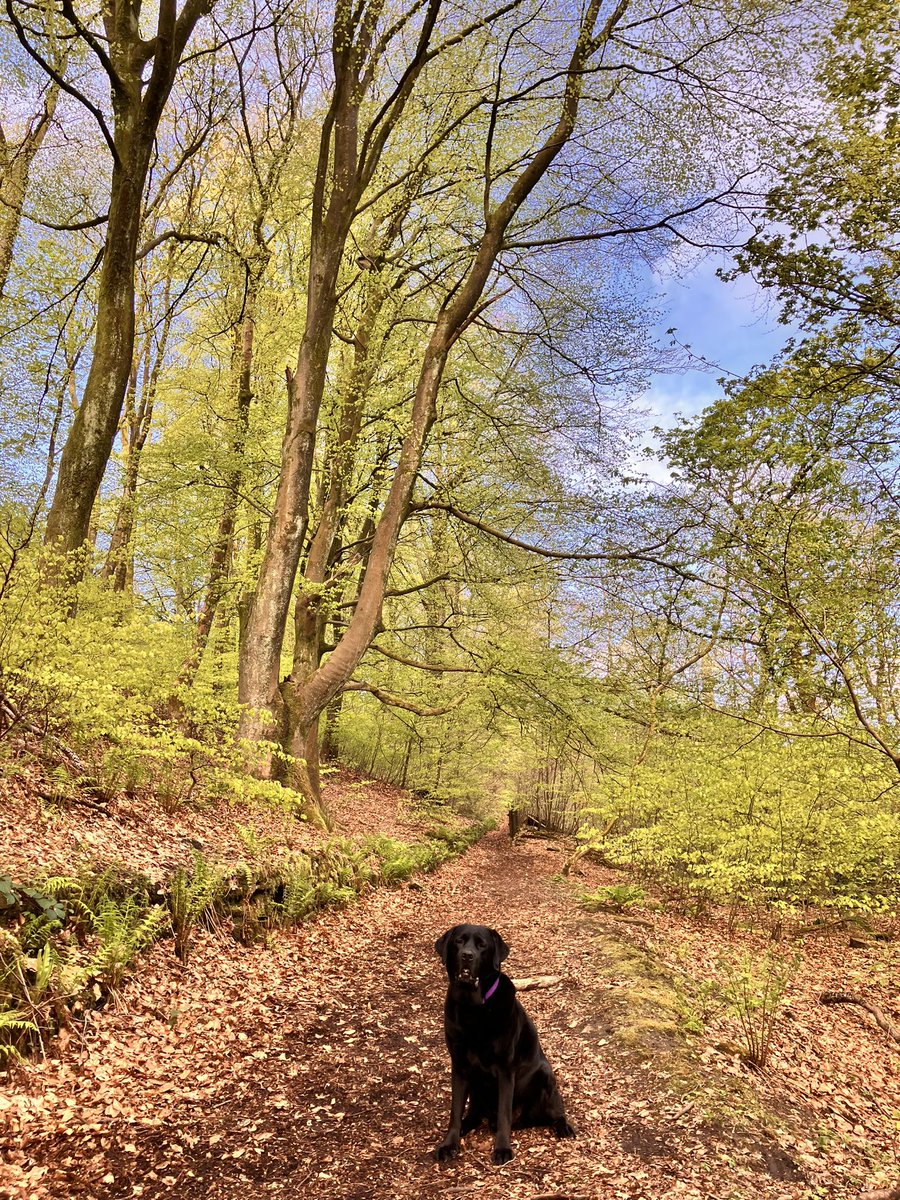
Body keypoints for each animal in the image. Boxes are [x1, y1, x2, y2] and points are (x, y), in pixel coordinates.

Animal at [432, 916, 573, 1161]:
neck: (473, 1008)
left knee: (554, 1111)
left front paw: (502, 1149)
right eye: (459, 941)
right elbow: (455, 1110)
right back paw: (468, 1124)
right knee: (474, 1113)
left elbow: (504, 1112)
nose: (467, 955)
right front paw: (449, 1143)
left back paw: (562, 1126)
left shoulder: (506, 1069)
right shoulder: (459, 1065)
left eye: (482, 945)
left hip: (545, 1073)